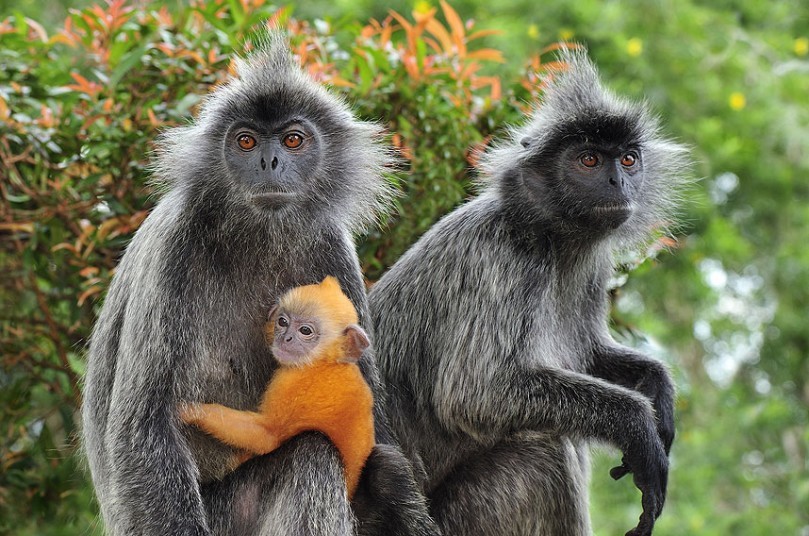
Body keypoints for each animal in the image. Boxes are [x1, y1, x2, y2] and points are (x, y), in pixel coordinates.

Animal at [180, 276, 376, 498]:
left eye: (305, 331)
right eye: (283, 322)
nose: (285, 338)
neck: (323, 363)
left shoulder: (293, 383)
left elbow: (267, 436)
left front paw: (190, 412)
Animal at [370, 50, 692, 536]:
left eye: (628, 160)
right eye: (589, 160)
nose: (618, 183)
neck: (551, 237)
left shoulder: (592, 270)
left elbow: (588, 354)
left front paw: (658, 388)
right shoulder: (501, 257)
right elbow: (477, 393)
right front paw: (638, 424)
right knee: (545, 449)